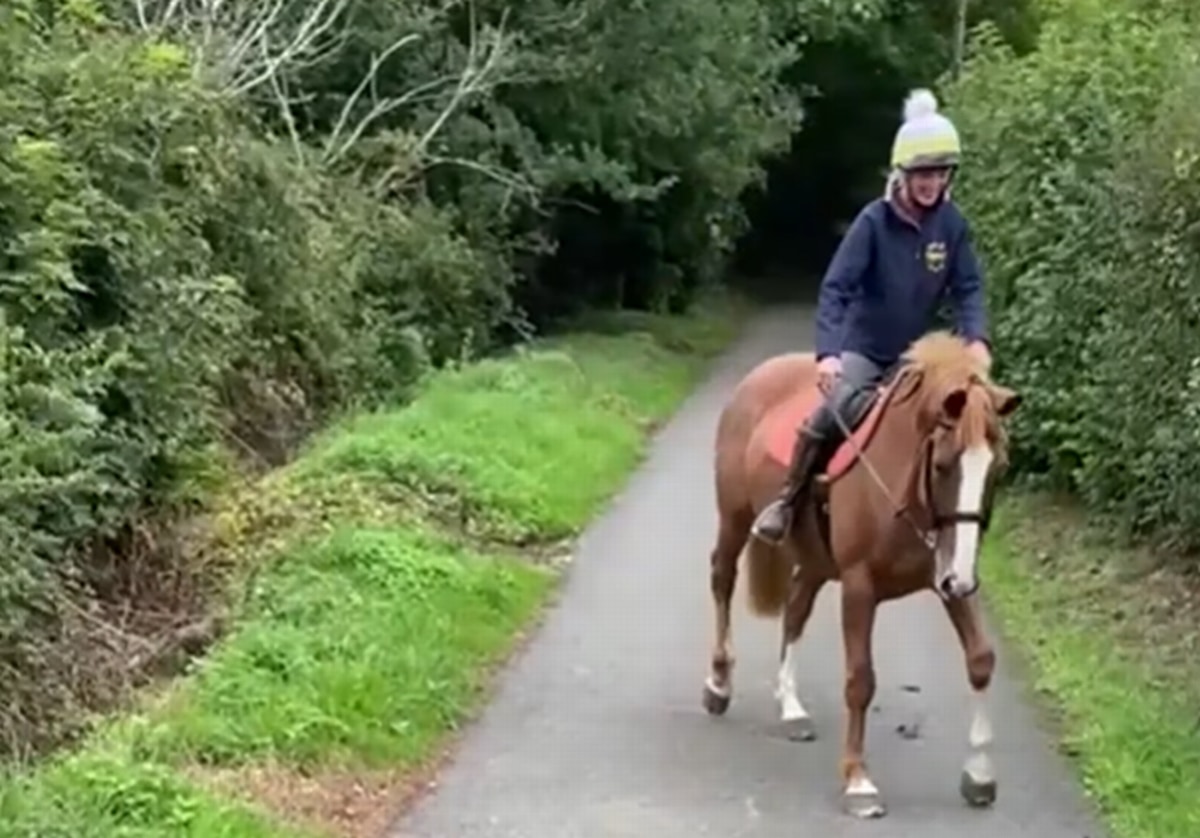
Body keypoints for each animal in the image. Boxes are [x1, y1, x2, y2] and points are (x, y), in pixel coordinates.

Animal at [700, 331, 1022, 816]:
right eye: (943, 465)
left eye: (998, 468)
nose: (962, 579)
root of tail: (759, 375)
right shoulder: (859, 586)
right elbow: (860, 680)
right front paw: (858, 781)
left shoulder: (948, 578)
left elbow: (981, 661)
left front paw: (980, 776)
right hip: (735, 519)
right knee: (723, 580)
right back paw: (718, 684)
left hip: (814, 561)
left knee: (795, 610)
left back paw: (791, 707)